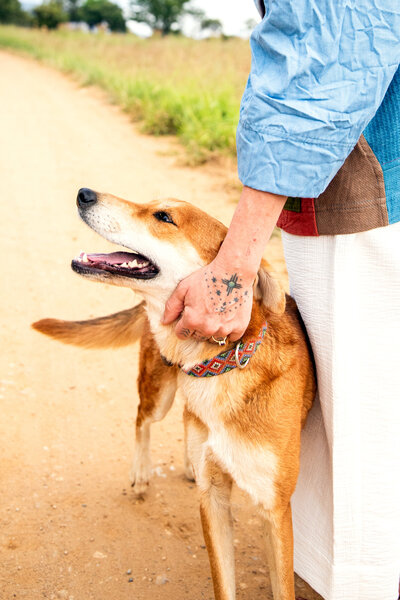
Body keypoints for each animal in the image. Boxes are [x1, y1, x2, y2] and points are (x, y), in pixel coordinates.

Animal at [33, 189, 316, 600]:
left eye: (164, 217)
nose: (84, 193)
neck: (221, 365)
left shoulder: (274, 508)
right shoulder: (212, 499)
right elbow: (223, 583)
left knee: (182, 417)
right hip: (158, 391)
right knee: (142, 418)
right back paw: (141, 474)